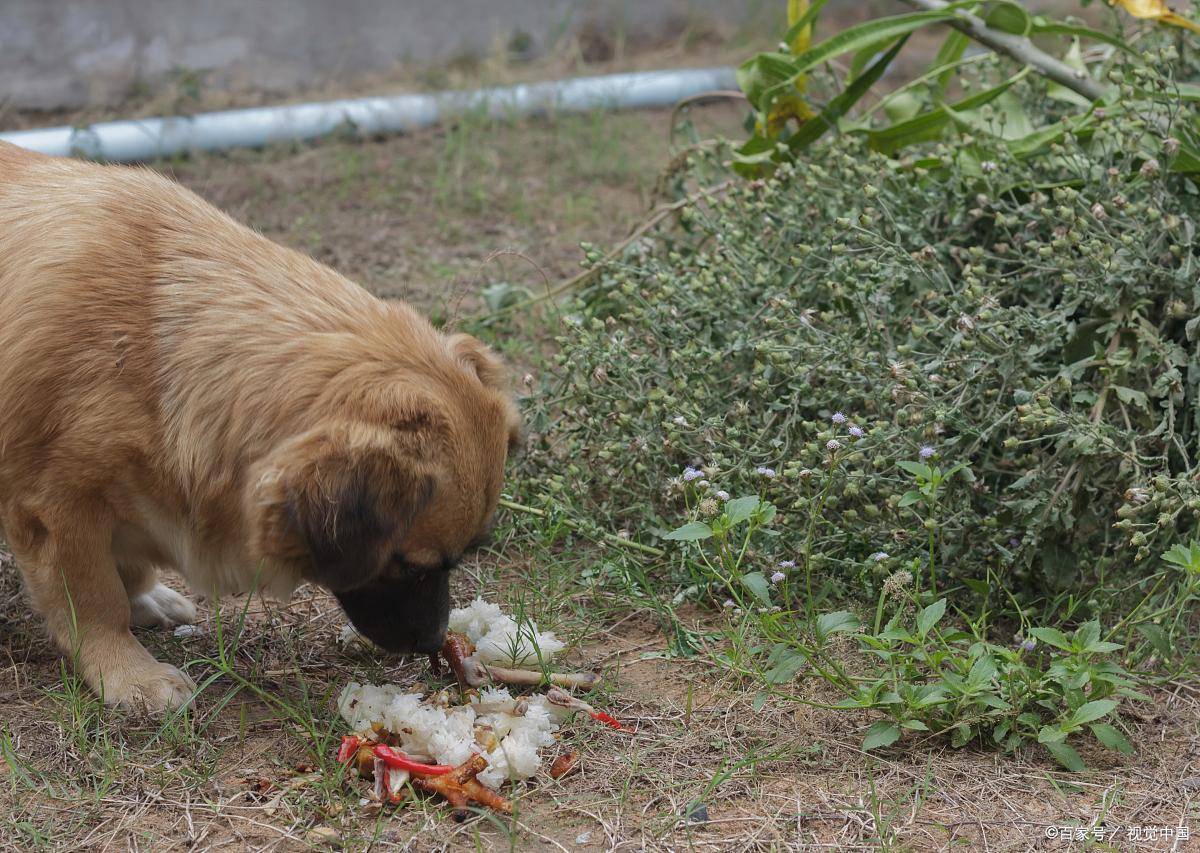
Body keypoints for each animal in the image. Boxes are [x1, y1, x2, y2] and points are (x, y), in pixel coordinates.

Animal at [0, 141, 520, 715]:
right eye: (410, 566)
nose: (433, 642)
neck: (150, 349)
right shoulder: (56, 507)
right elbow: (94, 598)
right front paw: (127, 671)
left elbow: (126, 566)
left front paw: (143, 596)